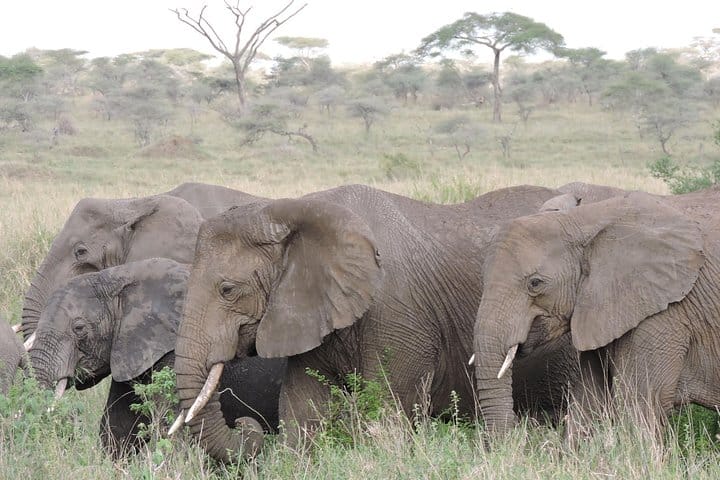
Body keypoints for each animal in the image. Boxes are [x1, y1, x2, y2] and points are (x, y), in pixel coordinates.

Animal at [27, 257, 285, 457]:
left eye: (79, 328)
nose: (242, 424)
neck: (116, 278)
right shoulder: (129, 349)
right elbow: (117, 426)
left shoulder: (170, 350)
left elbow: (169, 427)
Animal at [172, 183, 586, 462]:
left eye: (227, 289)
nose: (247, 428)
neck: (292, 210)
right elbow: (303, 406)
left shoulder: (399, 313)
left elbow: (387, 406)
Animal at [472, 188, 720, 440]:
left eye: (535, 283)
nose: (518, 438)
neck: (584, 220)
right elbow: (590, 399)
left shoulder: (665, 310)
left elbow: (643, 403)